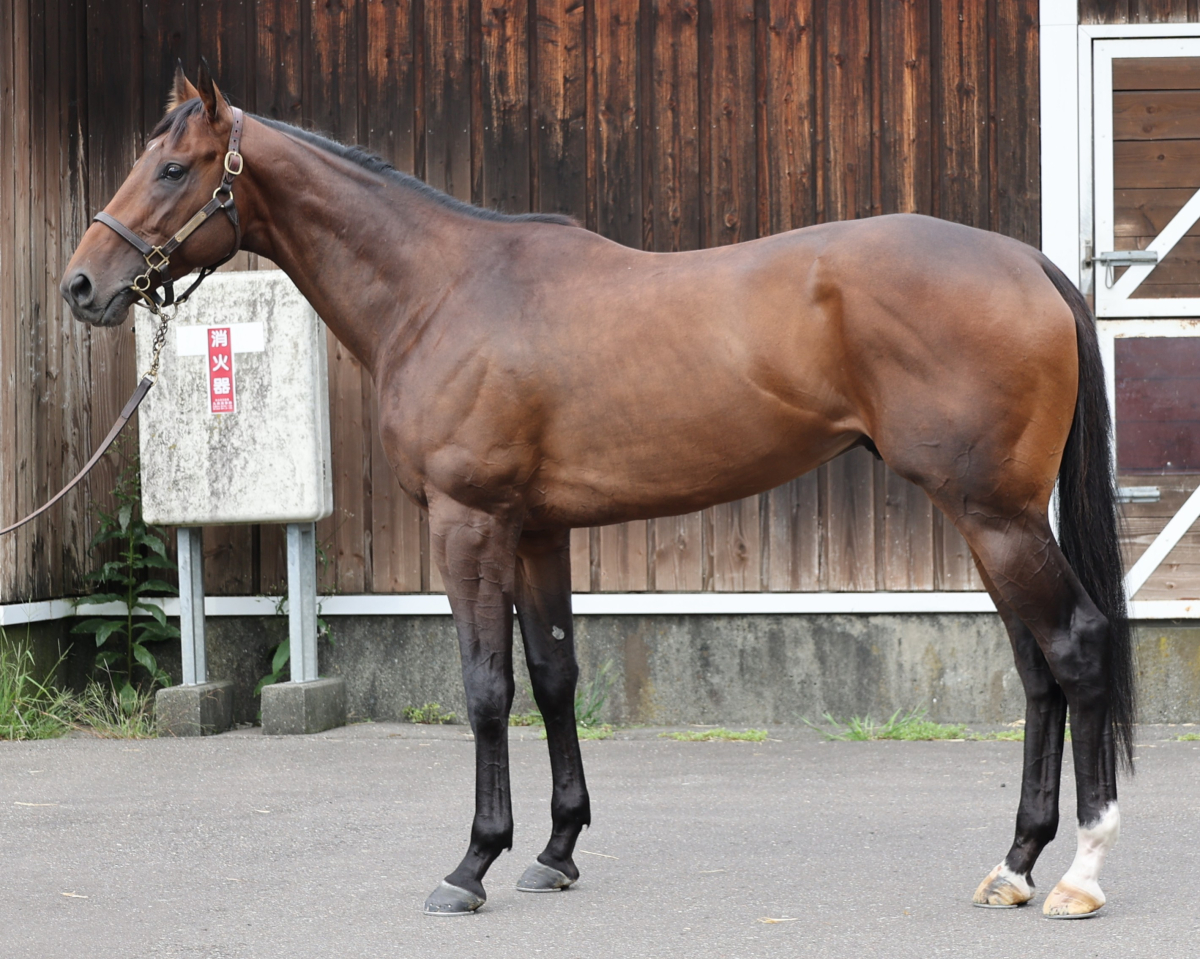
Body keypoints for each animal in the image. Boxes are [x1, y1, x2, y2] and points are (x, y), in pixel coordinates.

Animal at [61, 62, 1135, 920]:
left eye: (172, 169)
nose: (82, 285)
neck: (442, 289)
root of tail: (1026, 262)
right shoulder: (539, 531)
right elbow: (554, 676)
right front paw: (554, 849)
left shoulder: (471, 525)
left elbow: (487, 687)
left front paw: (471, 864)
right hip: (988, 519)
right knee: (1037, 669)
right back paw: (1015, 863)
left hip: (996, 516)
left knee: (1076, 648)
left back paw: (1080, 874)